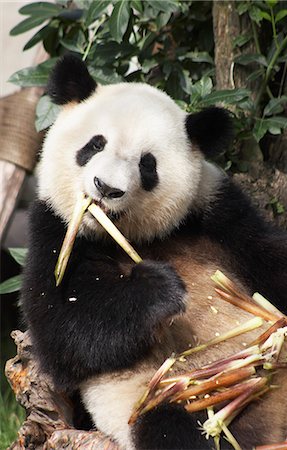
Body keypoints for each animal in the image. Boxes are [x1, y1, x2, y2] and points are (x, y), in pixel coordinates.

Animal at [20, 56, 287, 450]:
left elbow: (267, 258)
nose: (106, 188)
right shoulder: (56, 227)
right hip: (170, 398)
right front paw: (160, 289)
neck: (135, 237)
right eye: (95, 145)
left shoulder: (215, 210)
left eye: (147, 164)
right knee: (172, 428)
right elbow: (63, 328)